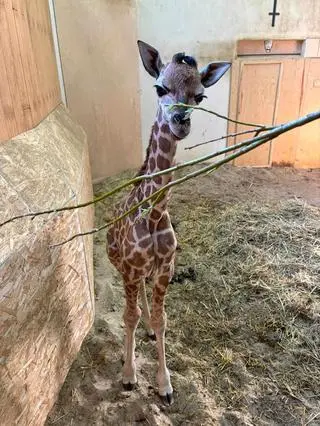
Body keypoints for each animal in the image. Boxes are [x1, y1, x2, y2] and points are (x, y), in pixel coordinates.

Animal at [107, 40, 230, 402]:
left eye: (200, 95)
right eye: (160, 87)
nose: (180, 121)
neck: (155, 213)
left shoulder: (164, 268)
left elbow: (162, 320)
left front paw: (164, 386)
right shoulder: (132, 267)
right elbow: (128, 316)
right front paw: (129, 375)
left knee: (144, 304)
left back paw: (147, 330)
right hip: (120, 265)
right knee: (132, 306)